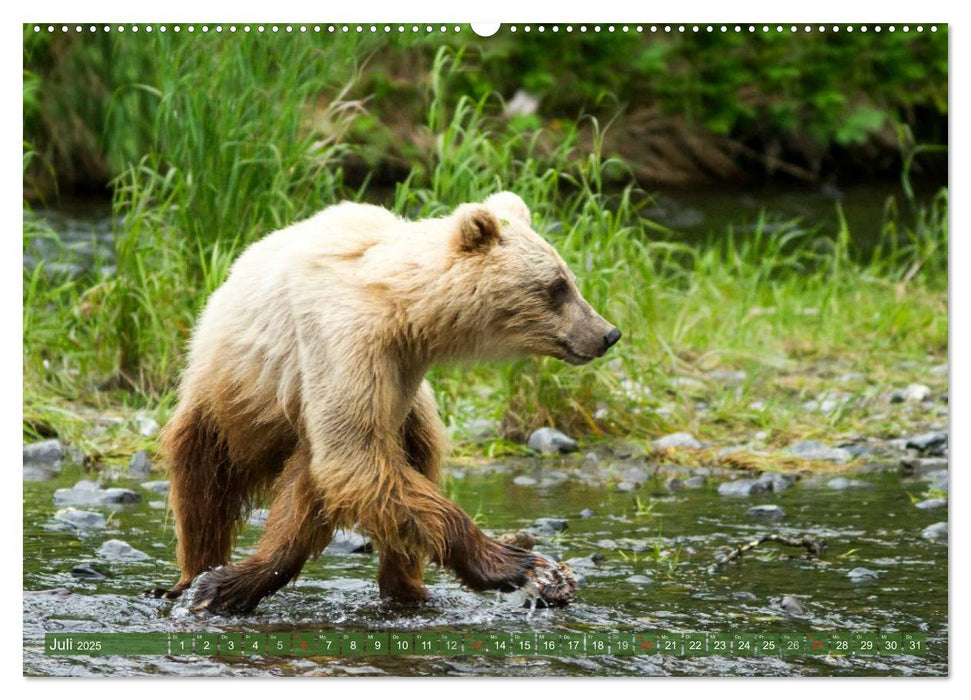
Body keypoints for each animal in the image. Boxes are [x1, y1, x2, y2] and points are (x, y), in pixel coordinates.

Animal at [156, 191, 620, 612]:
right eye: (557, 287)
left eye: (569, 280)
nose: (607, 333)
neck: (404, 311)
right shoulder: (341, 343)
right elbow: (353, 458)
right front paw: (511, 561)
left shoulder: (399, 371)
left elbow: (345, 469)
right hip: (230, 396)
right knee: (202, 484)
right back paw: (196, 577)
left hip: (398, 412)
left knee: (409, 454)